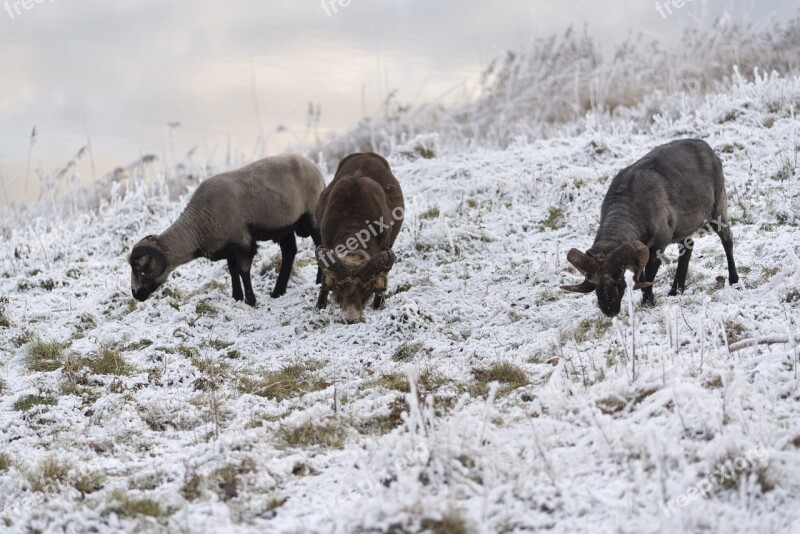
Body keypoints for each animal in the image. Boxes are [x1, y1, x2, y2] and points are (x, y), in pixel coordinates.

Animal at [130, 153, 324, 308]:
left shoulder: (244, 242)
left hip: (312, 218)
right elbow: (232, 270)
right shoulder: (228, 246)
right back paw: (278, 292)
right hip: (285, 226)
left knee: (320, 247)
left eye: (141, 269)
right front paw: (237, 297)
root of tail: (314, 166)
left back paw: (318, 281)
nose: (135, 294)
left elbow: (243, 270)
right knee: (289, 252)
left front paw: (250, 301)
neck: (199, 221)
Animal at [564, 139, 736, 318]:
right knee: (686, 249)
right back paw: (676, 290)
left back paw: (733, 279)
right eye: (593, 281)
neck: (628, 205)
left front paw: (648, 302)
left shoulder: (659, 243)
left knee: (727, 239)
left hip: (718, 207)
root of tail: (706, 147)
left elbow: (649, 272)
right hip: (684, 226)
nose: (609, 310)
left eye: (619, 276)